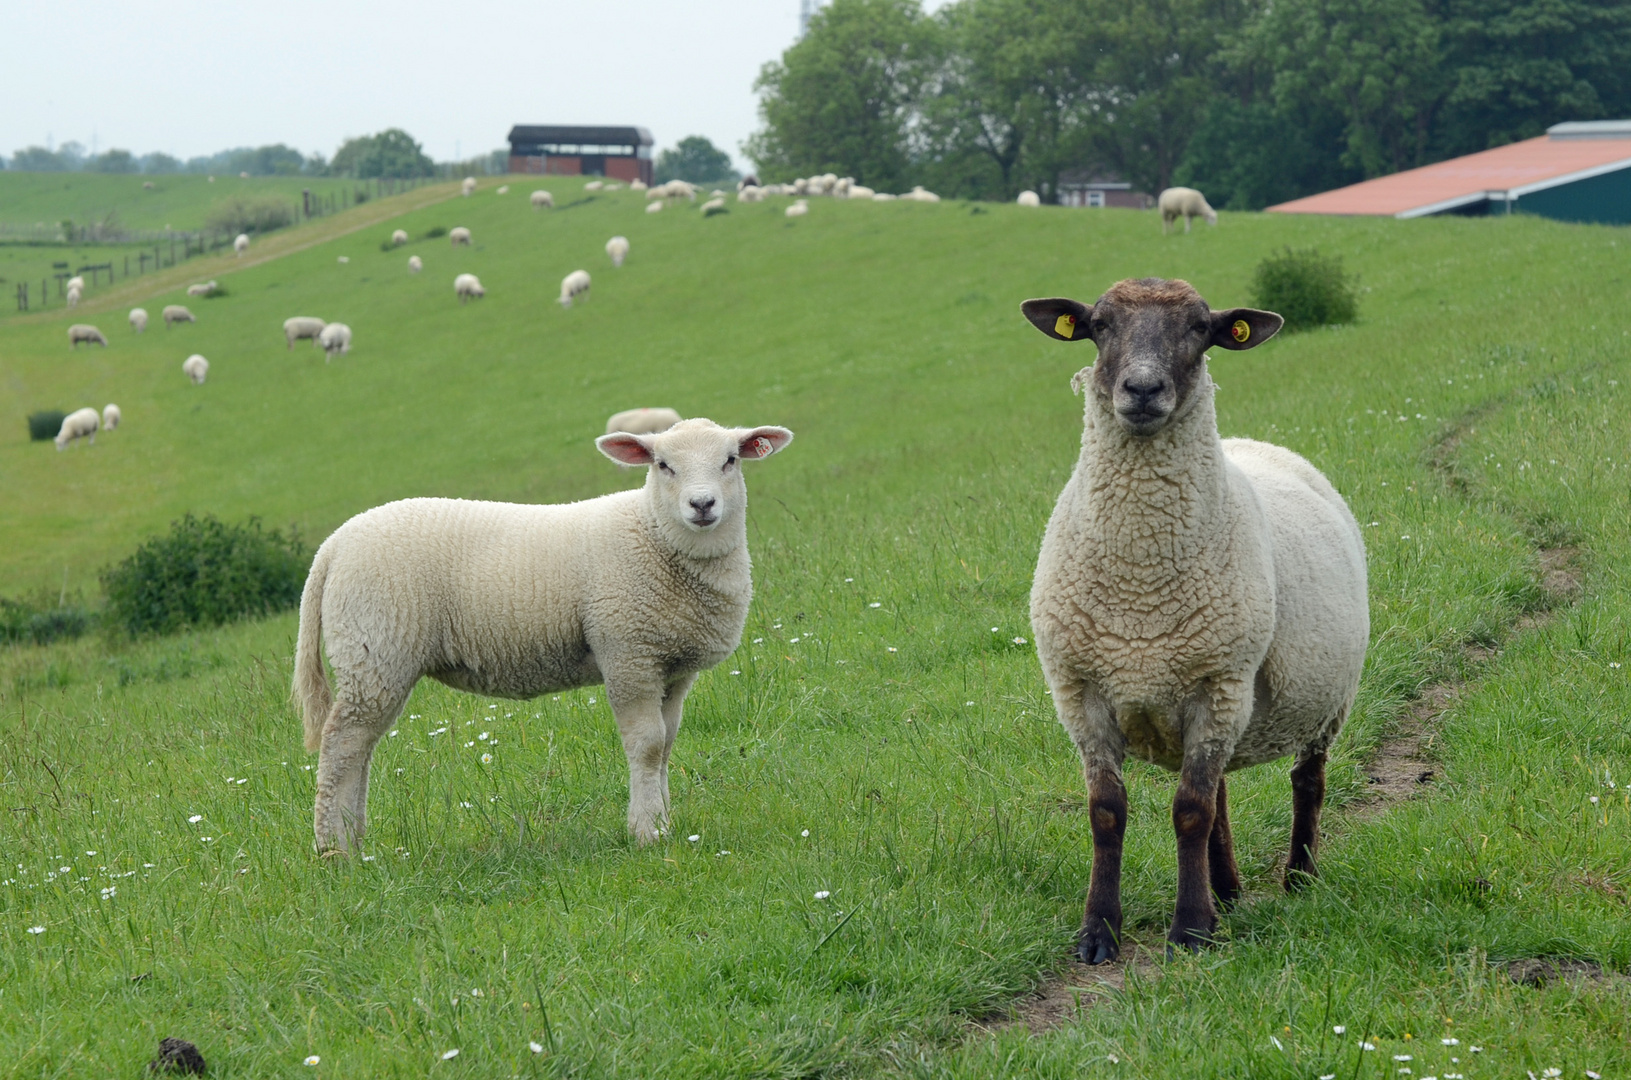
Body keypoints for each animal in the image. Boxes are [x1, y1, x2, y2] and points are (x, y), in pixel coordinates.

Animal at [301, 417, 802, 848]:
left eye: (731, 460)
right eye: (663, 465)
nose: (702, 505)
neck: (655, 536)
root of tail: (332, 546)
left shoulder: (674, 667)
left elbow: (667, 743)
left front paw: (665, 821)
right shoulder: (628, 653)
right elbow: (646, 745)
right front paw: (647, 832)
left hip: (377, 658)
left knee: (361, 749)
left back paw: (355, 839)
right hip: (376, 648)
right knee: (341, 746)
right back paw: (335, 851)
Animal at [1017, 277, 1363, 965]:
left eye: (1201, 327)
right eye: (1099, 323)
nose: (1142, 389)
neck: (1141, 585)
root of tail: (1254, 445)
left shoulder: (1219, 682)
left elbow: (1190, 812)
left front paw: (1192, 929)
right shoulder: (1081, 692)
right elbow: (1108, 812)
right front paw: (1098, 932)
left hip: (1323, 699)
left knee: (1305, 781)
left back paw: (1299, 878)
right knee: (1224, 790)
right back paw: (1227, 889)